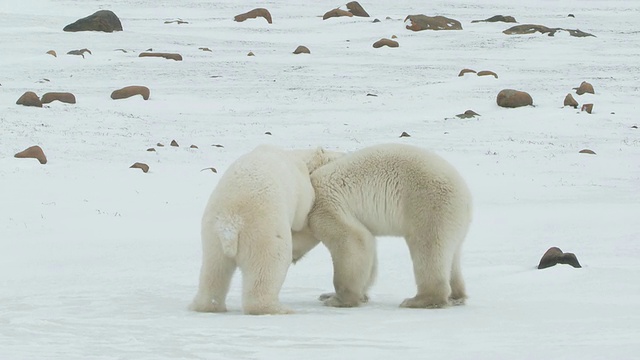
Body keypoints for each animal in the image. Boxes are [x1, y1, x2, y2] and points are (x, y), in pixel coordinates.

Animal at [189, 144, 340, 316]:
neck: (298, 157)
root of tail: (231, 223)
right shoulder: (300, 185)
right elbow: (302, 210)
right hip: (262, 231)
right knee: (268, 267)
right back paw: (279, 309)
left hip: (212, 235)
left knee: (214, 270)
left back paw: (208, 306)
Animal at [292, 143, 472, 310]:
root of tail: (466, 197)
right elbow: (368, 245)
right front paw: (333, 294)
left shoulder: (326, 204)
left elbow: (353, 240)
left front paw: (339, 299)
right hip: (452, 222)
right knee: (452, 255)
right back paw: (456, 296)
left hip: (428, 205)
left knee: (428, 248)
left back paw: (418, 300)